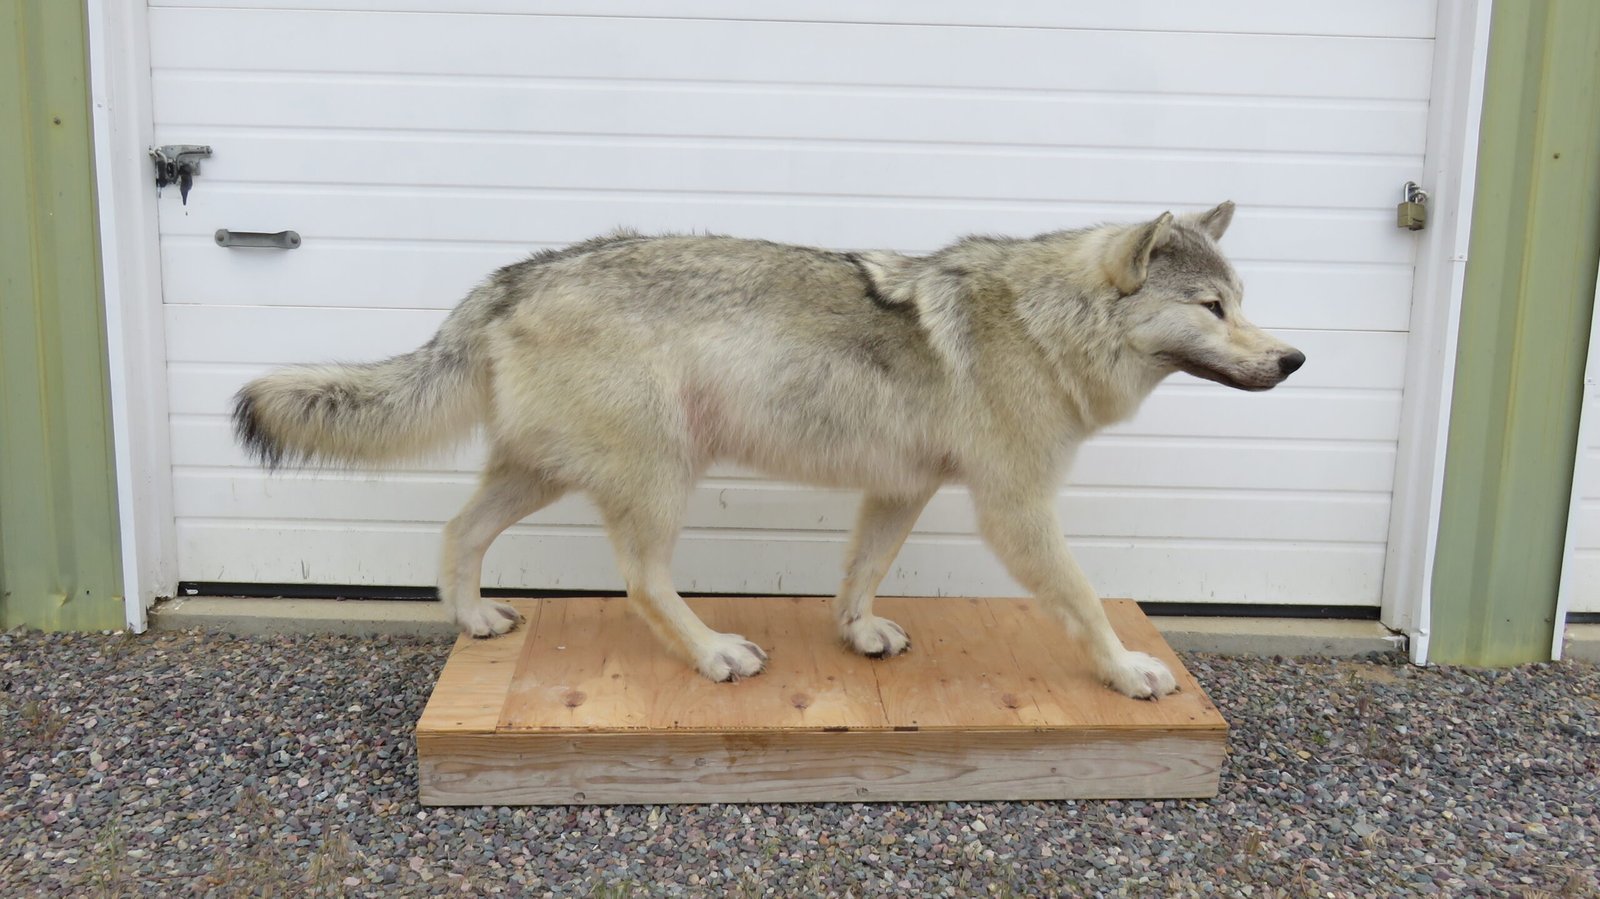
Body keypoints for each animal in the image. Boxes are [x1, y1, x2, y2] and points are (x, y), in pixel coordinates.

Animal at [232, 202, 1303, 698]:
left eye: (1241, 302)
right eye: (1213, 307)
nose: (1295, 359)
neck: (1044, 325)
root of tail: (515, 275)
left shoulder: (900, 492)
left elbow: (860, 577)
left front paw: (858, 636)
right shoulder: (1017, 509)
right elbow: (1083, 601)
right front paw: (1127, 672)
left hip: (543, 473)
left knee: (458, 532)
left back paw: (475, 621)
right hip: (661, 476)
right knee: (641, 584)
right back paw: (715, 653)